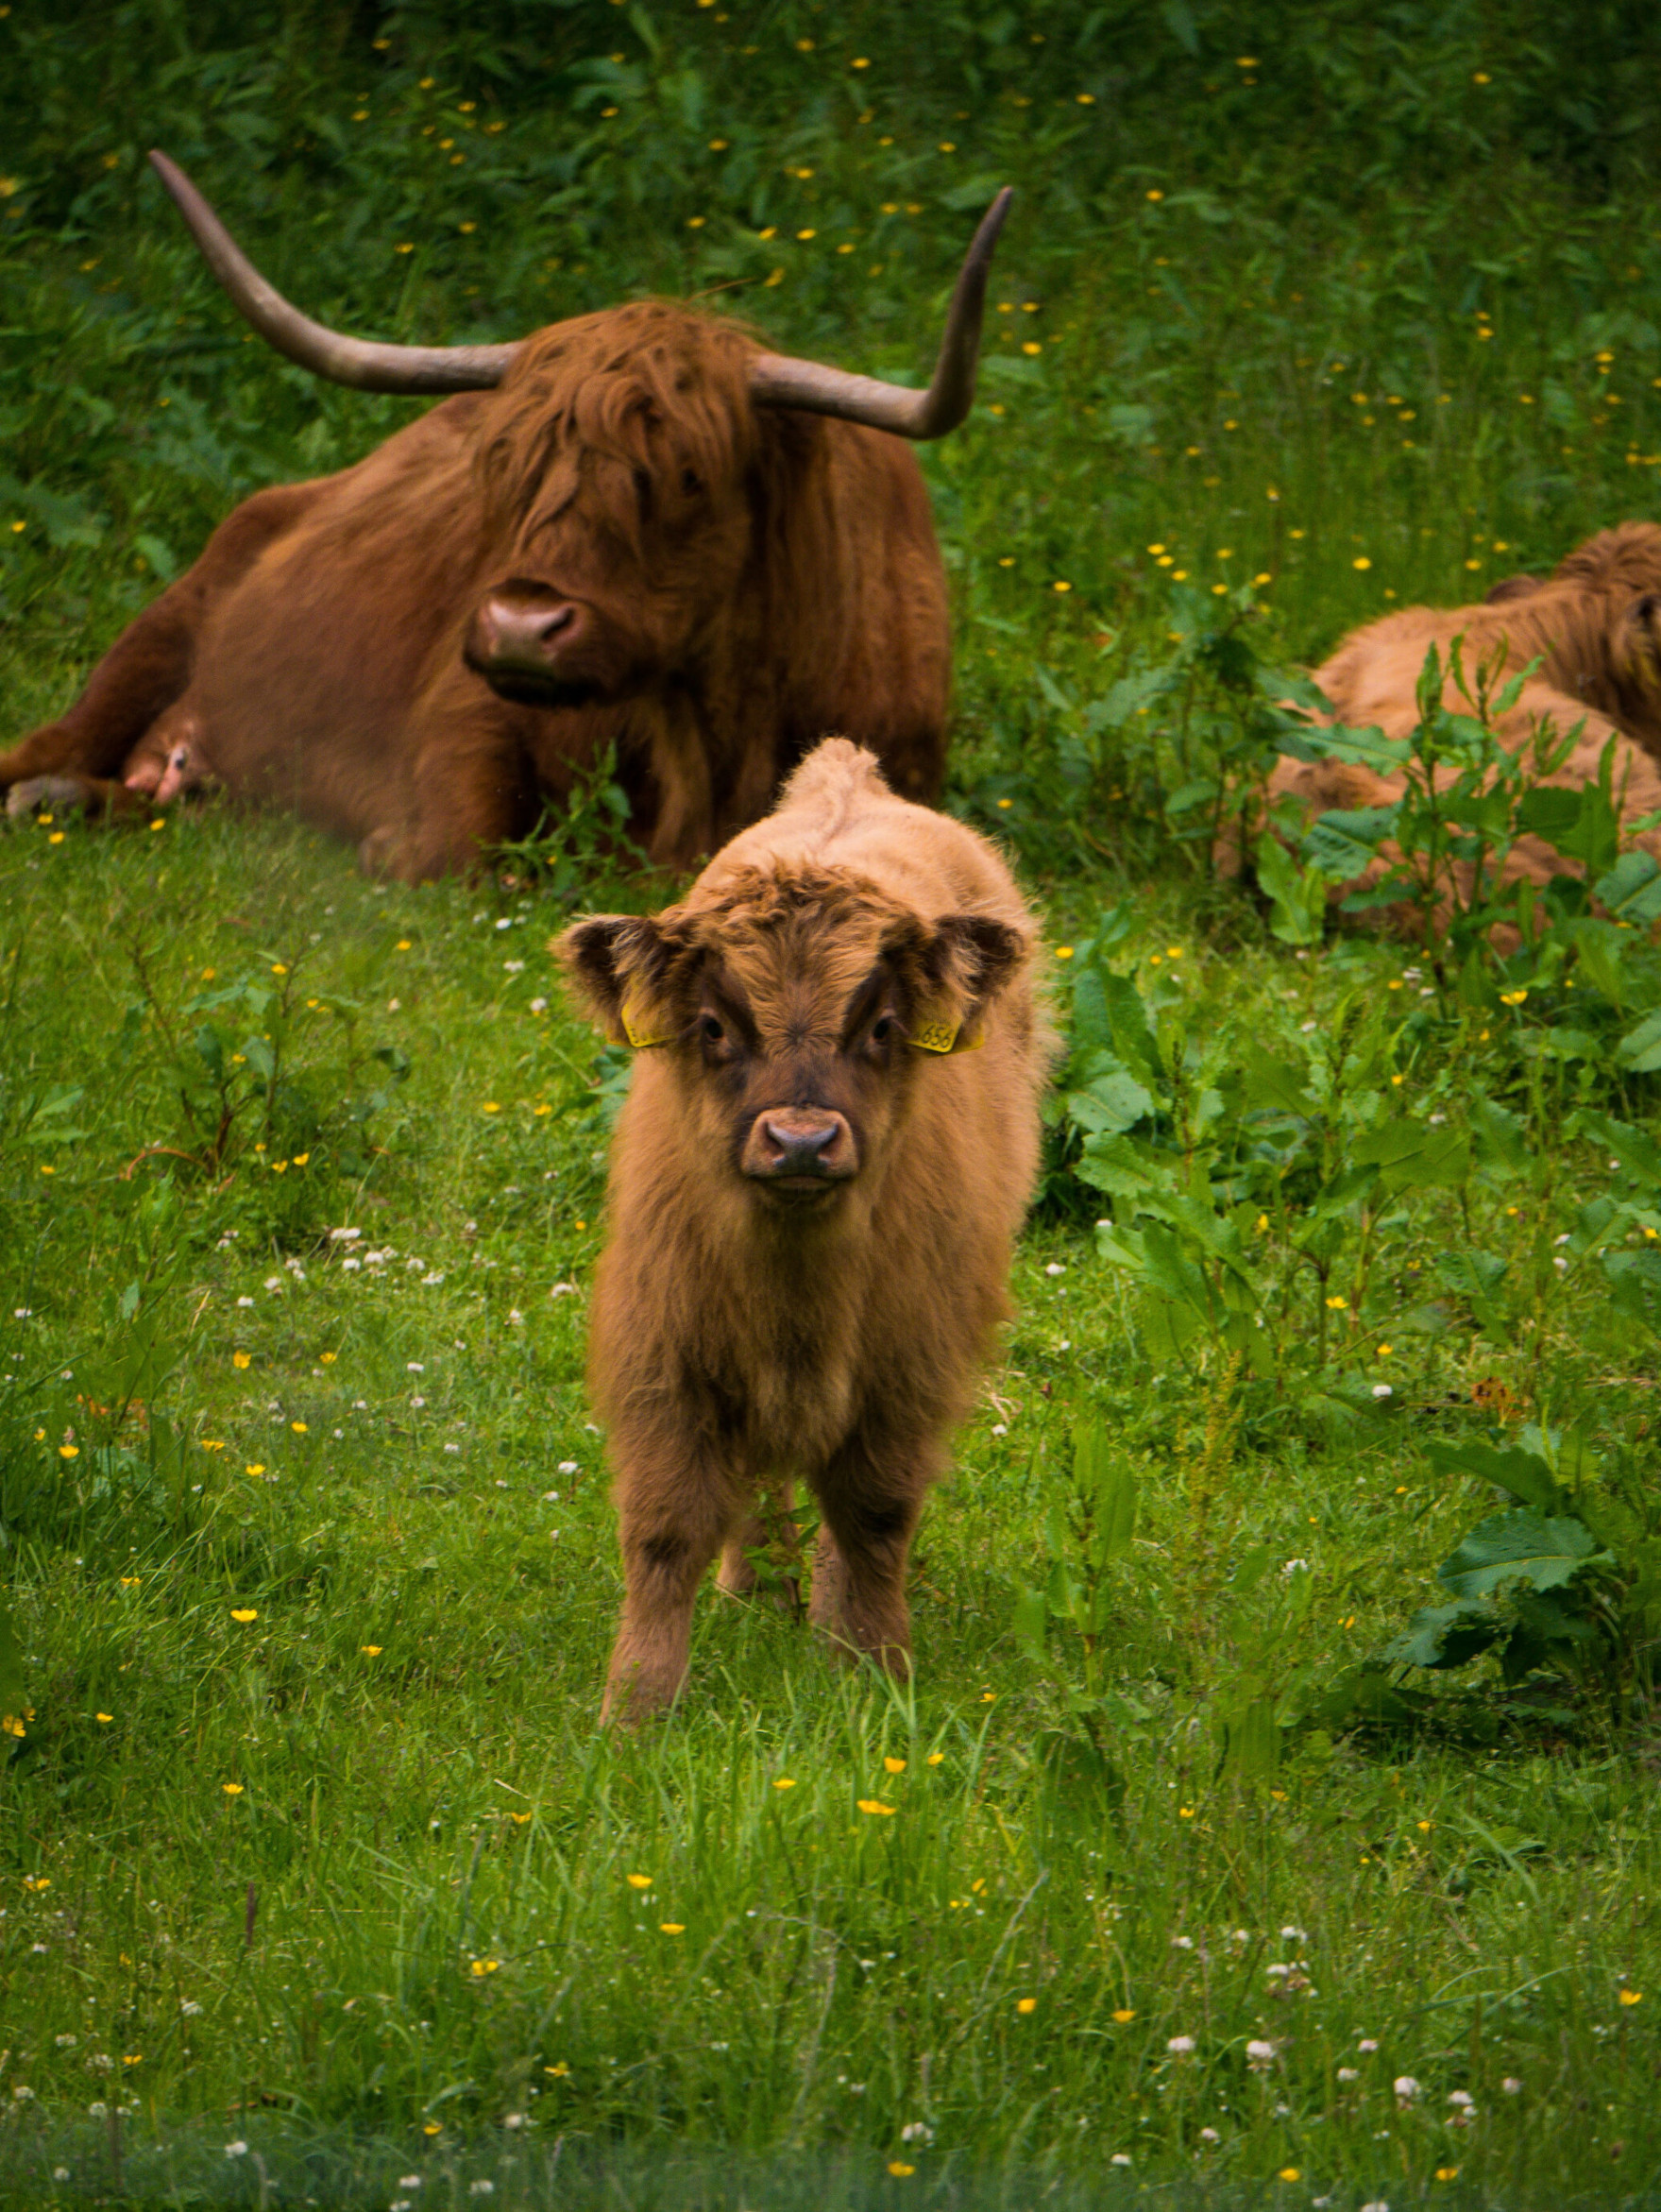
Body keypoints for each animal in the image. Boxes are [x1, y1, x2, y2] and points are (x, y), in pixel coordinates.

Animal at [0, 156, 1012, 876]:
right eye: (509, 466)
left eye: (687, 474)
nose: (522, 627)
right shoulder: (467, 712)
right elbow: (452, 844)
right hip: (163, 628)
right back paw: (44, 793)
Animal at [559, 734, 1052, 1716]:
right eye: (713, 1025)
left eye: (883, 1026)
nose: (799, 1141)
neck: (796, 1296)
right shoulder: (663, 1357)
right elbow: (664, 1532)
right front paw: (635, 1710)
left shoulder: (908, 1367)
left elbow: (872, 1520)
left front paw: (868, 1667)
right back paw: (756, 1588)